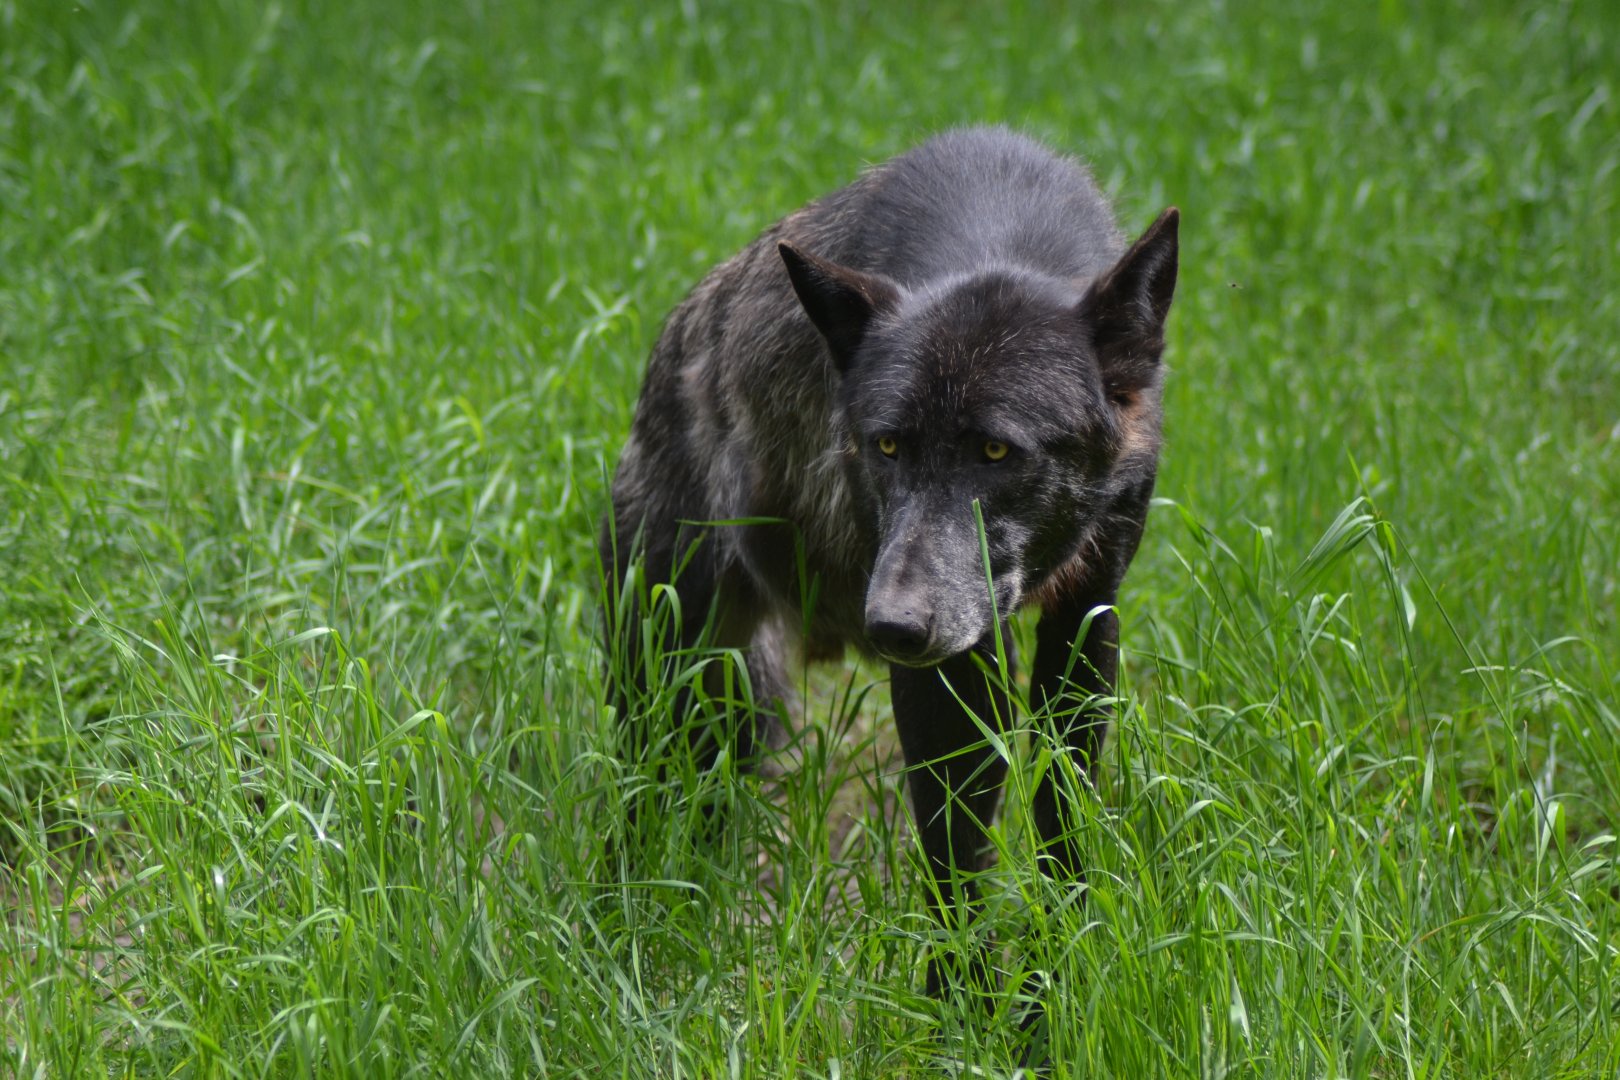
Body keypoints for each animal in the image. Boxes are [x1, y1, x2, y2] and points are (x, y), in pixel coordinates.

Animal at [601, 126, 1177, 997]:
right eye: (887, 446)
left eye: (996, 451)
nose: (893, 628)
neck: (999, 223)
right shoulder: (953, 668)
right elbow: (955, 865)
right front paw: (964, 1012)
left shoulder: (1085, 616)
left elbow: (1061, 825)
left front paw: (1062, 977)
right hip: (669, 686)